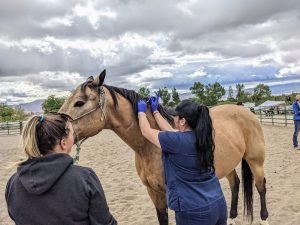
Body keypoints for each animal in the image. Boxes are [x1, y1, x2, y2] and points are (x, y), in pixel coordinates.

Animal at [58, 69, 270, 224]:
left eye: (79, 102)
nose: (58, 126)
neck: (150, 147)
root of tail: (244, 110)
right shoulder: (154, 193)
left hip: (255, 161)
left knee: (261, 187)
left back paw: (264, 218)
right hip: (228, 165)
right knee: (236, 184)